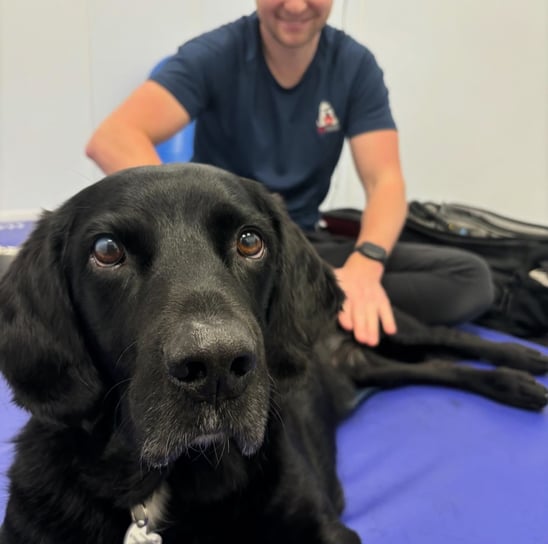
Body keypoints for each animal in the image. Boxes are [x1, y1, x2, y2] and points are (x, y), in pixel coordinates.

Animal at [0, 164, 544, 540]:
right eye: (107, 250)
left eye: (249, 241)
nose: (216, 365)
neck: (160, 488)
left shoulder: (327, 529)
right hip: (377, 366)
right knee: (439, 366)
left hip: (391, 330)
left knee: (451, 340)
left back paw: (526, 365)